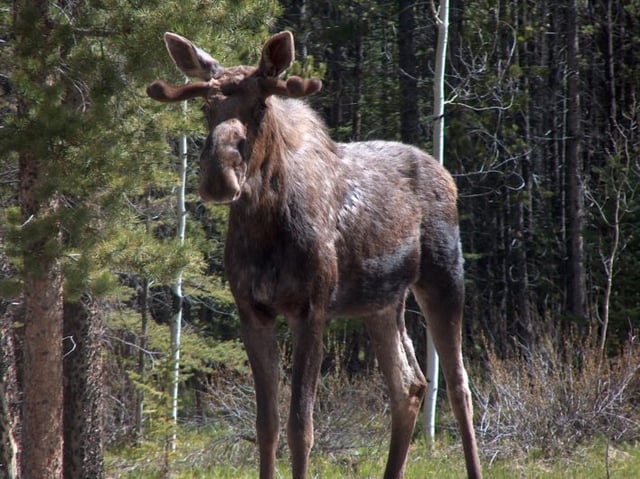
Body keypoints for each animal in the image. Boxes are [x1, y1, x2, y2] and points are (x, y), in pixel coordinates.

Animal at [147, 31, 482, 479]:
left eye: (261, 105)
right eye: (206, 106)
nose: (219, 177)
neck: (265, 231)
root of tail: (447, 175)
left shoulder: (311, 308)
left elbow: (300, 427)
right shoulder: (252, 310)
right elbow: (266, 425)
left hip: (443, 276)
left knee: (459, 384)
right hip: (381, 303)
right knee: (410, 385)